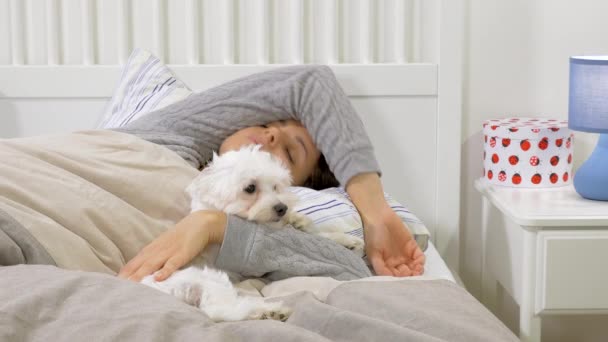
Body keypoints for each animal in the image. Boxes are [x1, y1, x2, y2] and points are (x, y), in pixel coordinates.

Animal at [141, 144, 360, 320]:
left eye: (275, 186)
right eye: (250, 188)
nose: (281, 208)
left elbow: (314, 233)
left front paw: (344, 240)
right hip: (209, 280)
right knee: (220, 312)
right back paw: (269, 311)